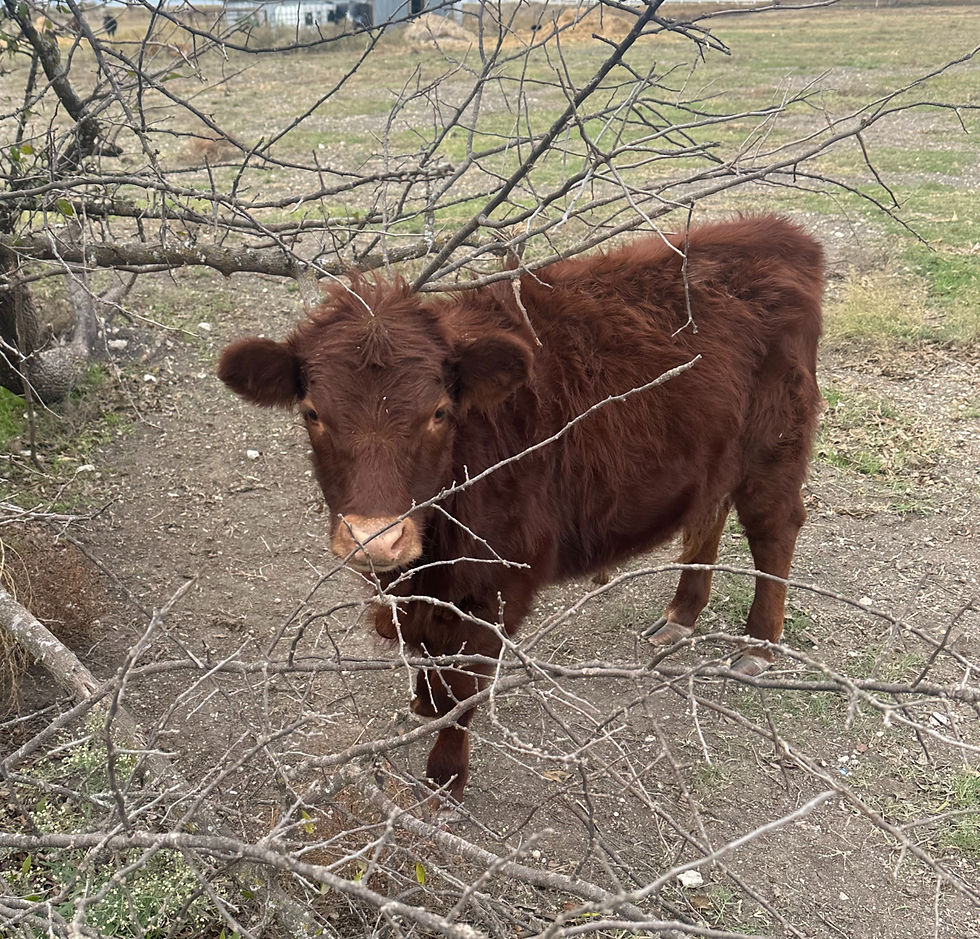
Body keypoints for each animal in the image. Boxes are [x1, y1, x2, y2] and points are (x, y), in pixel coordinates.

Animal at [219, 215, 824, 801]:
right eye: (312, 413)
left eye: (439, 412)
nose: (376, 538)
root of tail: (777, 232)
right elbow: (427, 654)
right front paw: (422, 702)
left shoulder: (495, 583)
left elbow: (465, 687)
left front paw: (444, 779)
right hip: (714, 454)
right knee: (709, 513)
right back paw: (680, 616)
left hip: (774, 444)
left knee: (774, 528)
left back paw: (758, 645)